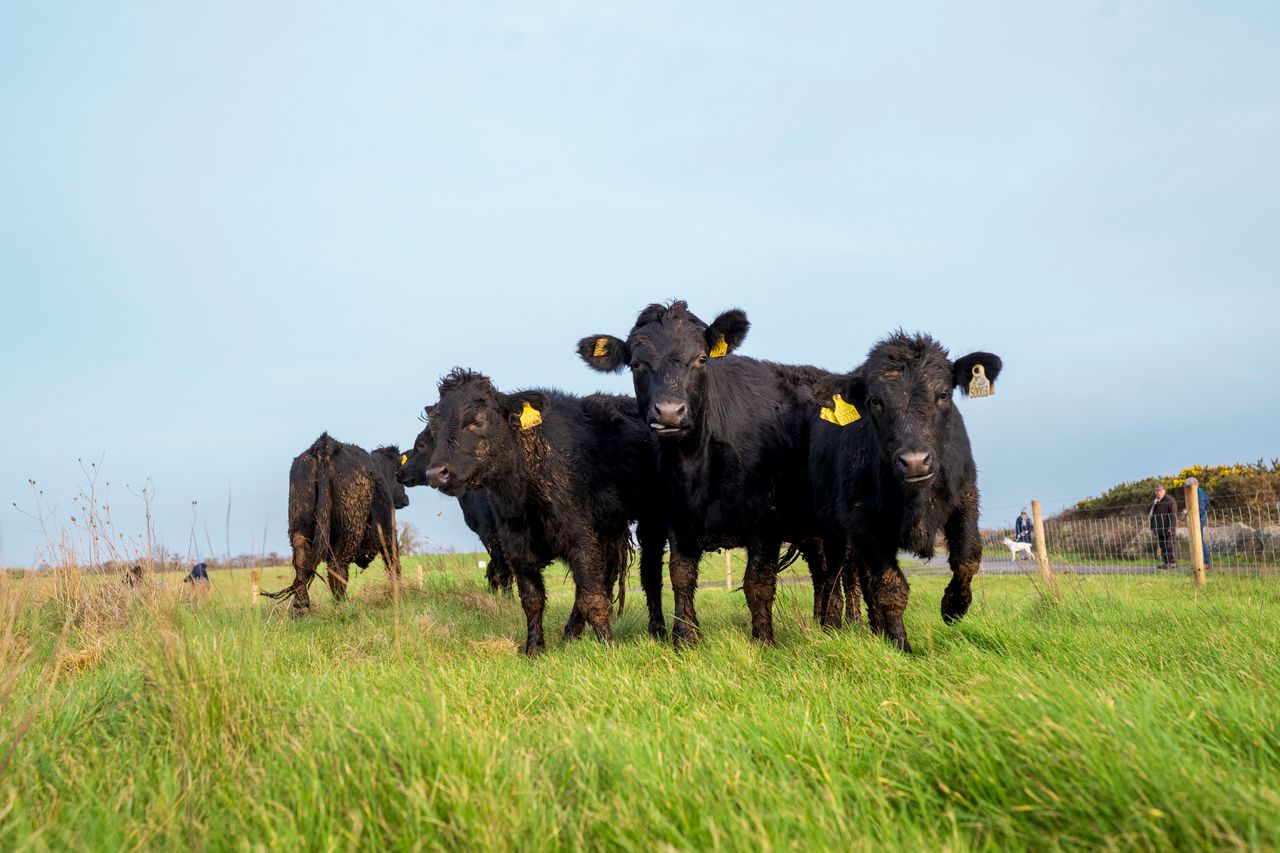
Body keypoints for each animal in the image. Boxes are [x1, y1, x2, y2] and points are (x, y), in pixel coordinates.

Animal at [265, 433, 409, 612]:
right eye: (398, 472)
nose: (405, 499)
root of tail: (325, 444)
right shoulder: (389, 529)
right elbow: (393, 562)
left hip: (300, 521)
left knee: (301, 562)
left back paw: (301, 608)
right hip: (348, 530)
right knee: (337, 567)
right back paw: (343, 606)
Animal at [412, 368, 668, 655]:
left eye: (476, 420)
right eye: (434, 428)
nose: (437, 473)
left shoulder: (580, 537)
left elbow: (592, 597)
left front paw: (608, 646)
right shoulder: (515, 543)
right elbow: (532, 599)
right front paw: (534, 649)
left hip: (651, 520)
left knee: (649, 573)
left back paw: (657, 630)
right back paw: (570, 633)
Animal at [577, 301, 852, 648]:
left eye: (701, 358)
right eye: (636, 363)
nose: (670, 412)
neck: (699, 469)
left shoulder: (767, 521)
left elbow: (758, 583)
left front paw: (763, 640)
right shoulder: (677, 517)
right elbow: (680, 575)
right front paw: (685, 637)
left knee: (834, 571)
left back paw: (833, 625)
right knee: (822, 569)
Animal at [809, 332, 1002, 652]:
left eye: (943, 394)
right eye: (875, 401)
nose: (914, 461)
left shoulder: (966, 498)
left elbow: (967, 558)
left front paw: (954, 607)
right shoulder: (863, 522)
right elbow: (891, 587)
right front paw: (901, 646)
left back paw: (876, 628)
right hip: (831, 531)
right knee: (832, 577)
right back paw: (831, 626)